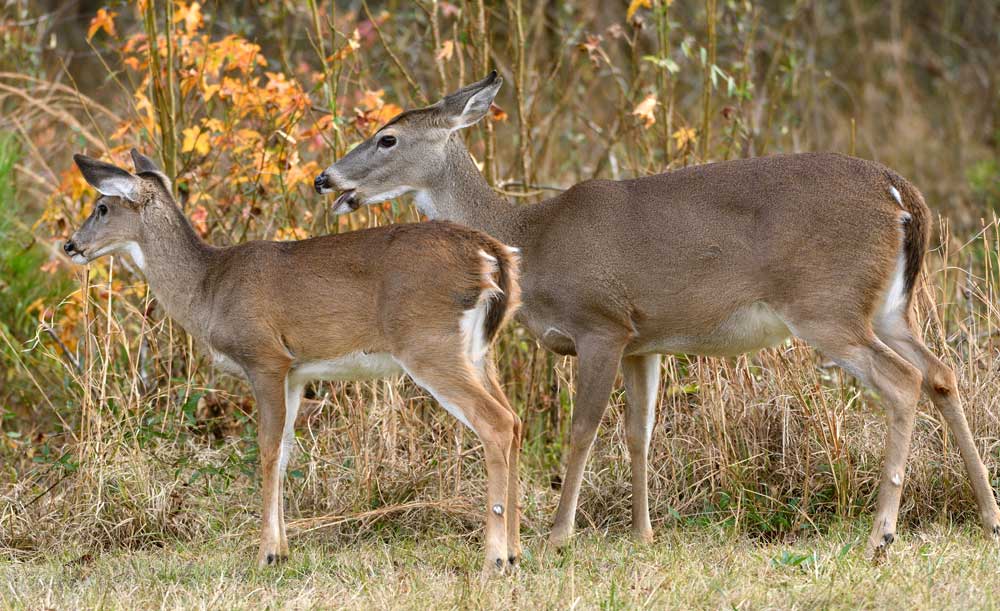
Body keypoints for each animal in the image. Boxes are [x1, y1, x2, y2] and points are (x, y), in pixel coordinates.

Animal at [64, 151, 524, 576]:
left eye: (102, 207)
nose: (70, 245)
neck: (207, 289)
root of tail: (490, 253)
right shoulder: (296, 372)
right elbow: (285, 451)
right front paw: (283, 550)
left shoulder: (264, 357)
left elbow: (267, 450)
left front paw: (266, 553)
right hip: (478, 350)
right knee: (515, 420)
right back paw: (516, 551)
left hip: (428, 343)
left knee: (497, 422)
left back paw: (494, 559)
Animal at [314, 73, 1000, 560]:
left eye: (388, 139)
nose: (325, 178)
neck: (528, 239)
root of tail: (900, 194)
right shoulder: (644, 341)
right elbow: (639, 433)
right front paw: (644, 534)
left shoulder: (601, 323)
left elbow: (583, 429)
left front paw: (557, 535)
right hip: (887, 307)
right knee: (941, 373)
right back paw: (988, 513)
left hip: (826, 304)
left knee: (903, 381)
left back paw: (881, 533)